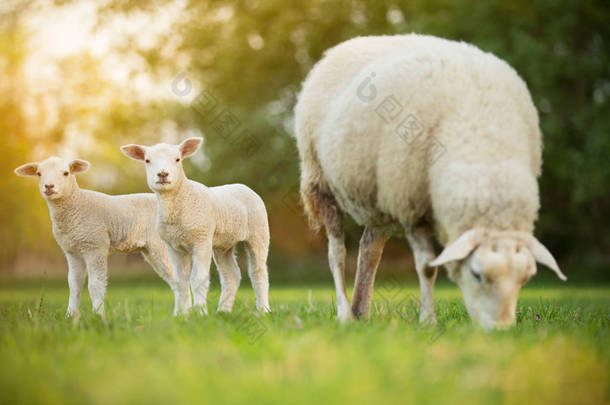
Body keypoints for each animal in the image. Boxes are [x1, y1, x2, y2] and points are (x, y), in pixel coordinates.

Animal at [14, 156, 176, 318]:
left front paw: (99, 315)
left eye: (66, 173)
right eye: (39, 173)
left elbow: (95, 285)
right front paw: (70, 316)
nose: (48, 186)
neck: (76, 204)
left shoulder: (95, 246)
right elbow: (74, 284)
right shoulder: (72, 251)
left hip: (161, 245)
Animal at [120, 137, 270, 314]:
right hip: (223, 243)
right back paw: (223, 311)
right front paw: (182, 314)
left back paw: (263, 310)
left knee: (258, 272)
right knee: (231, 276)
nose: (163, 174)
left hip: (259, 233)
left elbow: (198, 279)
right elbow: (180, 282)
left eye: (177, 159)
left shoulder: (201, 240)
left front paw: (200, 313)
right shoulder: (173, 246)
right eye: (147, 160)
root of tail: (243, 186)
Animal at [292, 34, 564, 328]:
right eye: (477, 274)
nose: (501, 330)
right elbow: (426, 266)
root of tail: (342, 47)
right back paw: (345, 313)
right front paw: (428, 321)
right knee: (337, 252)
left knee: (369, 250)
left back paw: (360, 311)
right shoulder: (410, 205)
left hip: (380, 194)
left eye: (525, 279)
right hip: (321, 181)